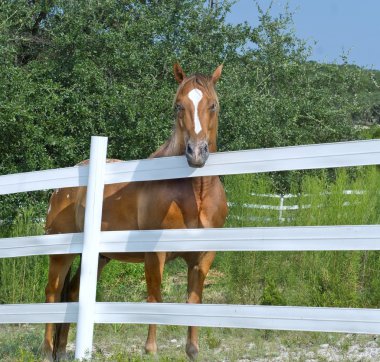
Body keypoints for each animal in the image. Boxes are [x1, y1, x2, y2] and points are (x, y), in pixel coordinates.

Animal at [42, 63, 226, 360]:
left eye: (213, 105)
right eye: (178, 106)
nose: (196, 153)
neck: (193, 193)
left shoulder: (203, 255)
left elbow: (194, 300)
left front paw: (192, 350)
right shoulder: (154, 252)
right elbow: (155, 297)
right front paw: (150, 349)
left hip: (99, 258)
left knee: (71, 293)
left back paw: (61, 350)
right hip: (61, 253)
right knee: (53, 292)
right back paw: (47, 350)